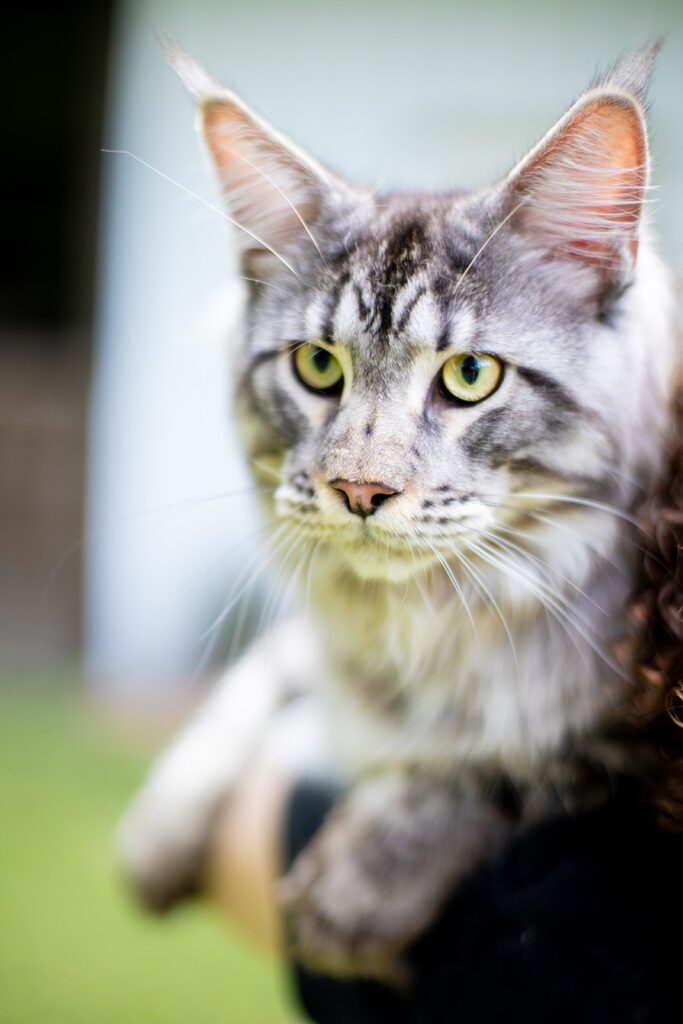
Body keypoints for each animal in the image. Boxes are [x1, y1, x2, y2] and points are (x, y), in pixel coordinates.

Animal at [117, 41, 679, 983]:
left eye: (470, 376)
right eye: (316, 365)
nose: (359, 492)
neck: (424, 623)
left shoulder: (623, 743)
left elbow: (504, 766)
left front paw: (358, 887)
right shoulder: (315, 646)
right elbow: (257, 684)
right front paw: (159, 827)